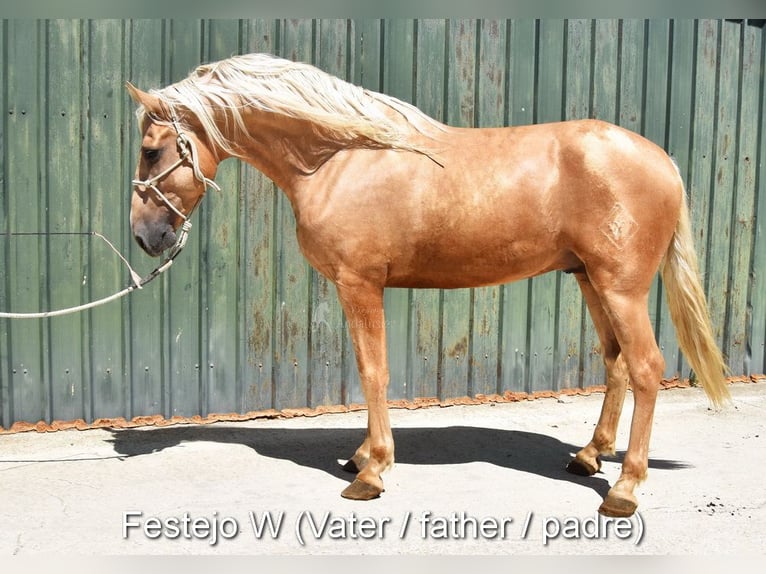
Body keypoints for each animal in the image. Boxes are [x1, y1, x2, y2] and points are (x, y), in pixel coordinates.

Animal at [126, 52, 729, 518]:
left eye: (152, 149)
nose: (144, 235)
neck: (339, 160)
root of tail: (662, 161)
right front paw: (363, 456)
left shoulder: (360, 284)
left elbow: (373, 372)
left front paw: (371, 472)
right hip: (589, 280)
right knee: (617, 361)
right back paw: (588, 456)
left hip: (621, 287)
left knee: (646, 367)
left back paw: (624, 489)